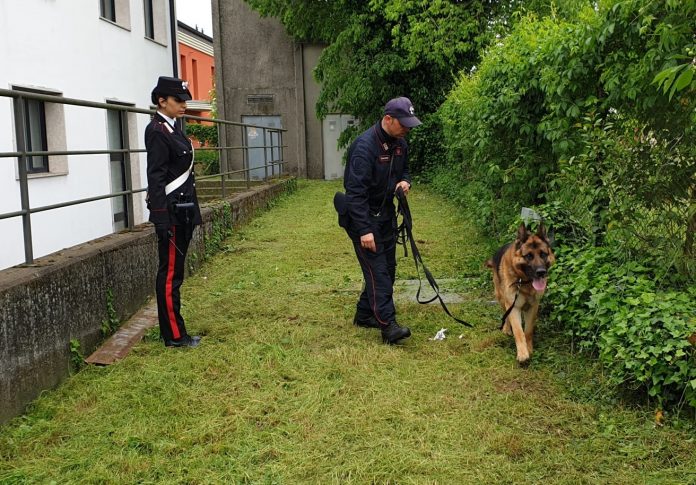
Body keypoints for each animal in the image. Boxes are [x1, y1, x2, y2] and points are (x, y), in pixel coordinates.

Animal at [490, 223, 556, 364]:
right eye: (529, 256)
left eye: (543, 254)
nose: (541, 272)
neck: (524, 282)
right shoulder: (514, 306)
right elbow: (518, 331)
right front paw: (522, 353)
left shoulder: (533, 307)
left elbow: (528, 330)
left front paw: (529, 348)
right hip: (502, 298)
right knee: (506, 316)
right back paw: (506, 329)